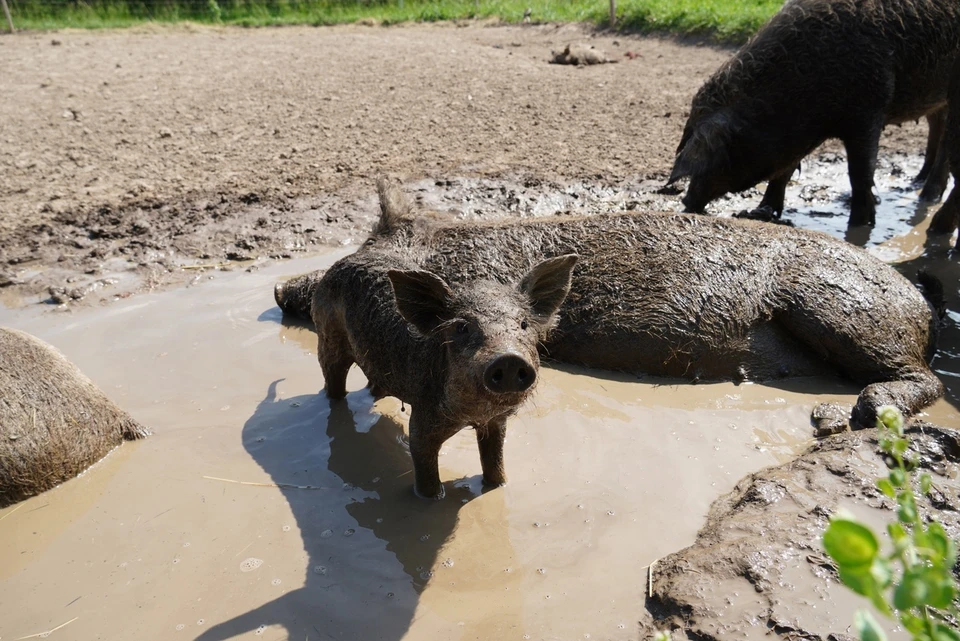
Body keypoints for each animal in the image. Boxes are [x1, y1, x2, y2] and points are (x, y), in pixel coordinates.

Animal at [278, 182, 944, 438]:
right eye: (363, 244)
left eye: (378, 260)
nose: (283, 291)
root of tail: (921, 304)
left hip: (839, 309)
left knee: (925, 378)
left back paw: (848, 415)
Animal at [278, 192, 576, 498]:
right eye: (461, 327)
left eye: (524, 324)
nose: (508, 358)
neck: (472, 414)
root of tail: (343, 260)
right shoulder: (423, 418)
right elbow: (423, 461)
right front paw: (430, 500)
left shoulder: (496, 422)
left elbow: (495, 460)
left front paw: (498, 487)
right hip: (327, 336)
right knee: (333, 381)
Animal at [668, 0, 960, 228]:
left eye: (720, 151)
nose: (687, 201)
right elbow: (783, 172)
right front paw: (763, 211)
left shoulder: (869, 111)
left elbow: (859, 173)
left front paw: (859, 225)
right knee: (937, 125)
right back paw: (916, 181)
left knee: (945, 144)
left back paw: (926, 195)